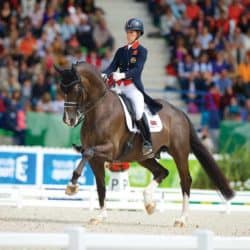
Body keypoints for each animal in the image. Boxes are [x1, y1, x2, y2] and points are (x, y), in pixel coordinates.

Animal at [54, 61, 234, 227]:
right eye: (62, 89)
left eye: (76, 89)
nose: (68, 120)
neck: (99, 111)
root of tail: (179, 112)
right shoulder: (97, 160)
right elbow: (100, 185)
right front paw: (100, 216)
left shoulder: (110, 150)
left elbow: (88, 152)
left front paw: (71, 186)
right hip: (144, 157)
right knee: (162, 172)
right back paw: (149, 203)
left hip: (179, 152)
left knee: (185, 180)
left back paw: (181, 219)